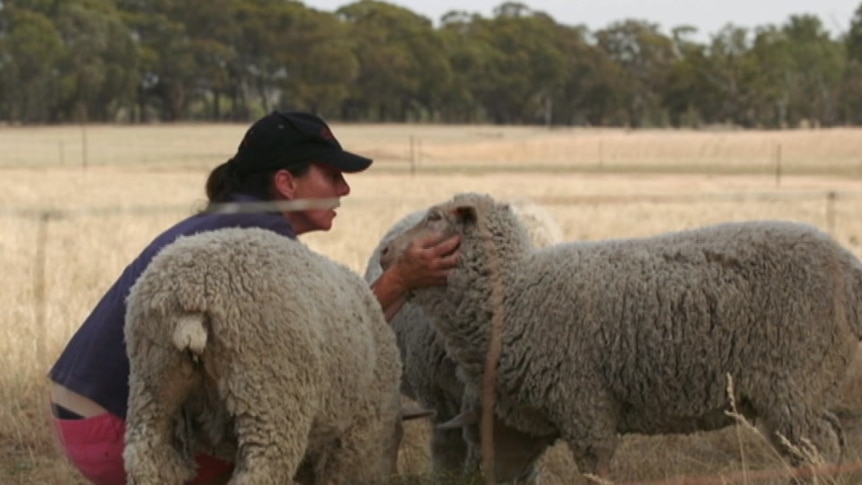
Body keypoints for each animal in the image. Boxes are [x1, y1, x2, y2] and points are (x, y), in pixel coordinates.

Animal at [124, 227, 404, 484]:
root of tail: (193, 295)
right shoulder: (358, 439)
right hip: (270, 395)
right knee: (261, 472)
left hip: (154, 382)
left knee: (147, 457)